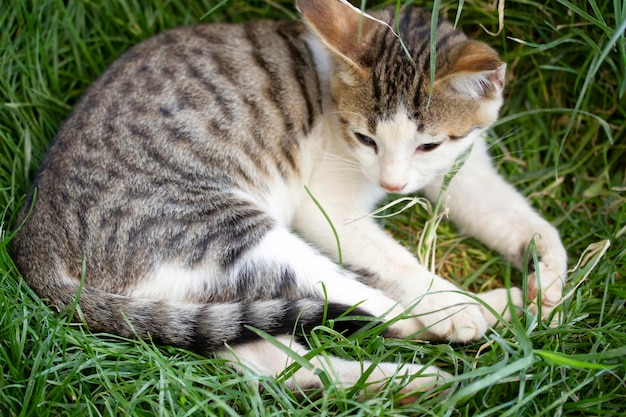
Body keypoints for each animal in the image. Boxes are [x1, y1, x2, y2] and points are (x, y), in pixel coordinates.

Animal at [11, 0, 564, 398]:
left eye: (428, 145)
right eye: (365, 138)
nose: (392, 186)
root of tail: (33, 238)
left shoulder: (466, 170)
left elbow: (527, 222)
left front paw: (554, 282)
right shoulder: (326, 207)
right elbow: (399, 263)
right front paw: (455, 304)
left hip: (198, 295)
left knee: (279, 362)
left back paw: (423, 374)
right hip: (228, 232)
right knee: (371, 307)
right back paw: (483, 312)